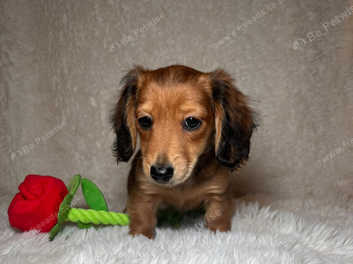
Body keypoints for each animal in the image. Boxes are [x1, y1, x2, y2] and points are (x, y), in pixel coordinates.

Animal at [111, 65, 254, 238]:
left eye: (192, 121)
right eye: (144, 120)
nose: (160, 173)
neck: (183, 186)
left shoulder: (218, 193)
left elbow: (217, 217)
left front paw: (218, 233)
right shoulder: (144, 191)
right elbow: (142, 219)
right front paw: (140, 236)